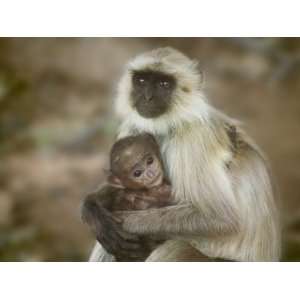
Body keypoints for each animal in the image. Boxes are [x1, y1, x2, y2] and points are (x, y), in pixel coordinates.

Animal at [87, 47, 282, 262]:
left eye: (164, 84)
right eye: (142, 81)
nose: (147, 97)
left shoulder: (193, 137)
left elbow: (219, 218)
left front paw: (126, 221)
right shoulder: (134, 127)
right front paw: (93, 209)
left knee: (175, 247)